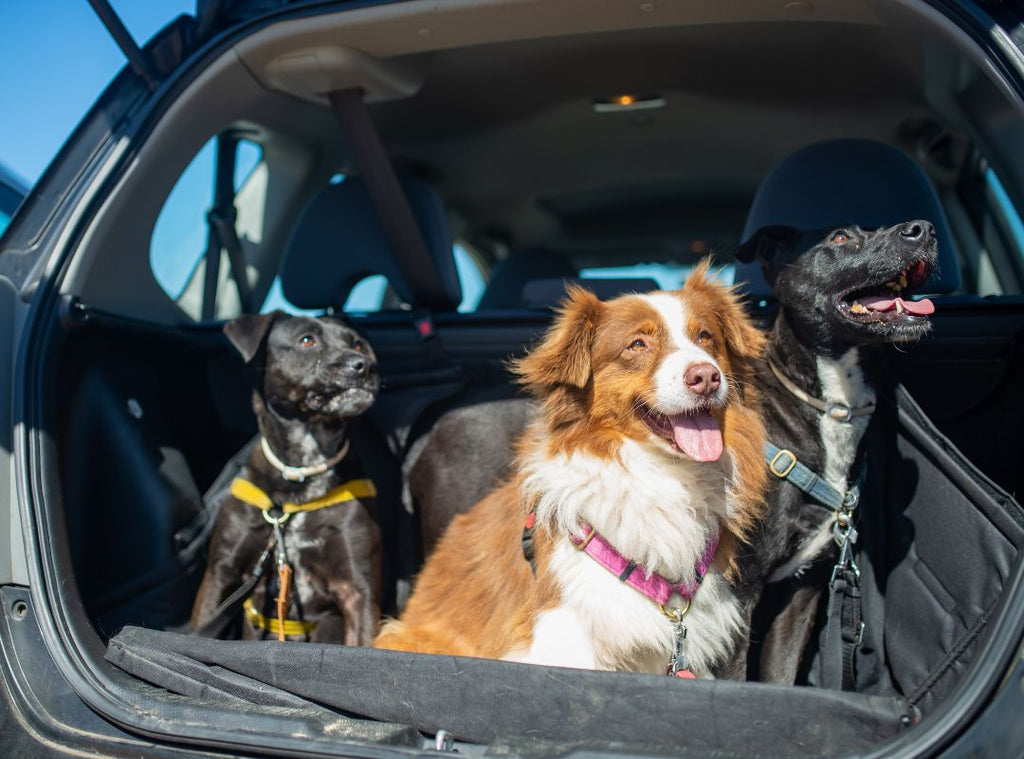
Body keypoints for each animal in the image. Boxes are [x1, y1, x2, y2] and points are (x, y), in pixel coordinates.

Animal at [190, 311, 382, 643]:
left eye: (357, 343)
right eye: (307, 340)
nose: (363, 365)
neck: (301, 472)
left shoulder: (359, 590)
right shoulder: (220, 573)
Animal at [733, 220, 937, 688]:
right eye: (841, 238)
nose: (923, 229)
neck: (834, 407)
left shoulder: (802, 591)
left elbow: (780, 678)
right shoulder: (733, 595)